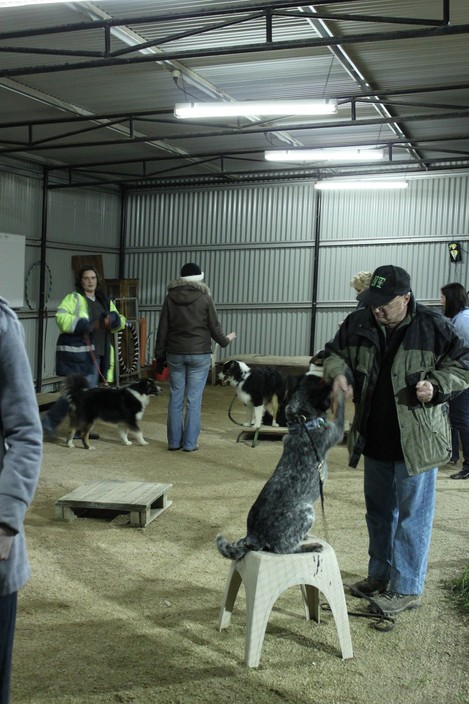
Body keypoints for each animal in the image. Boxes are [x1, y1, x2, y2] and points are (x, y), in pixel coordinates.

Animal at [216, 372, 344, 560]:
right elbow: (342, 412)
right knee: (283, 548)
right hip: (307, 511)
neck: (302, 422)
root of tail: (253, 535)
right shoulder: (336, 431)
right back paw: (310, 546)